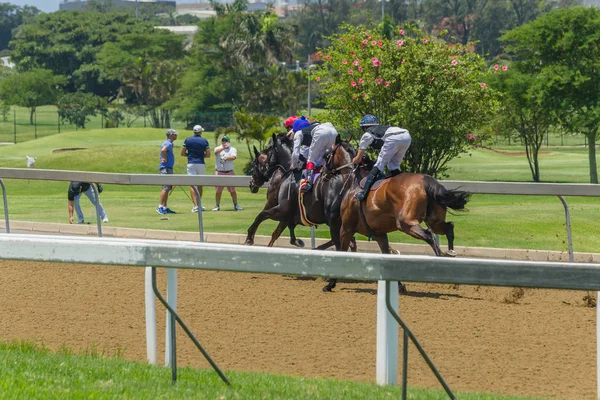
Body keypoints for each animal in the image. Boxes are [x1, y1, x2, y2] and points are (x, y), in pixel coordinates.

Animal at [322, 144, 472, 290]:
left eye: (327, 156)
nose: (323, 172)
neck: (354, 182)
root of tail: (426, 180)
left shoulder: (346, 228)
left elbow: (342, 251)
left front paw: (330, 283)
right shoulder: (380, 233)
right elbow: (387, 254)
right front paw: (398, 284)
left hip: (405, 222)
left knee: (429, 235)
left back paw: (441, 260)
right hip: (434, 220)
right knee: (448, 227)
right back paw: (450, 254)